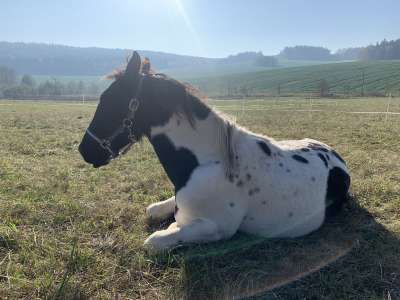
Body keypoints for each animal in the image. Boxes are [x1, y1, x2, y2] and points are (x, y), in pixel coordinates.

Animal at [79, 52, 352, 252]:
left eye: (110, 101)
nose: (84, 150)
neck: (207, 162)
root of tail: (336, 158)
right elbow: (154, 210)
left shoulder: (217, 228)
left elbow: (155, 240)